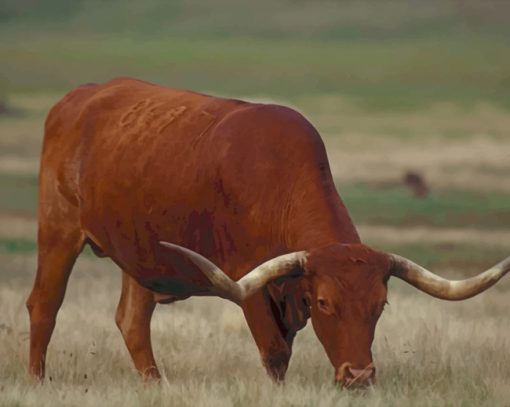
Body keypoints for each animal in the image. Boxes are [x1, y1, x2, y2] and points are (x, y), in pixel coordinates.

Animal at [28, 78, 510, 388]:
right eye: (324, 303)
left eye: (381, 304)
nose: (358, 376)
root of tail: (79, 96)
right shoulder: (252, 285)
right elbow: (275, 355)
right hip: (58, 231)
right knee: (44, 306)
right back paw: (36, 381)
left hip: (140, 251)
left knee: (132, 321)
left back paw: (155, 387)